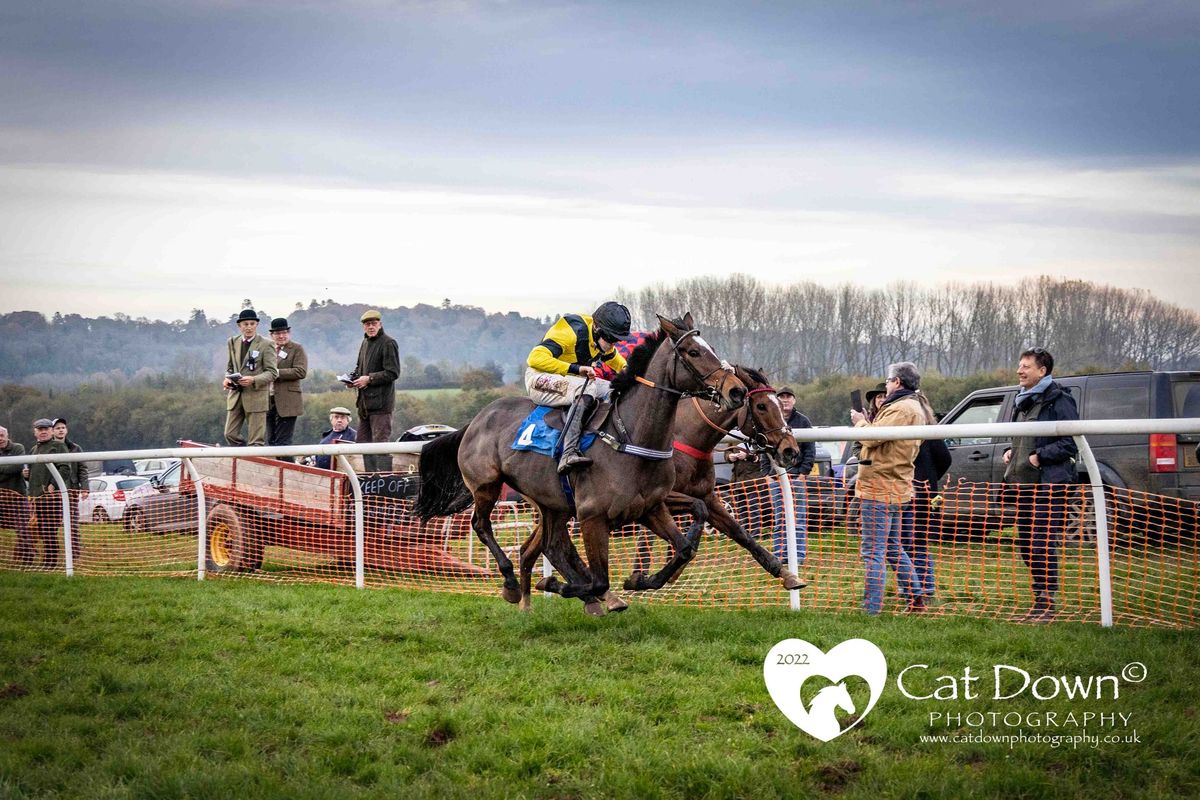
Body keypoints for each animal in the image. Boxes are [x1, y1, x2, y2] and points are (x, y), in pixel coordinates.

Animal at [417, 316, 744, 618]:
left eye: (712, 349)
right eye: (693, 352)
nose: (736, 391)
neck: (629, 438)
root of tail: (475, 421)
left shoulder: (651, 508)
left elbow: (685, 547)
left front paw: (638, 580)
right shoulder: (591, 517)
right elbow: (600, 579)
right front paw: (557, 585)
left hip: (550, 502)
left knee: (552, 545)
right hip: (487, 485)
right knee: (483, 525)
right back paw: (513, 584)